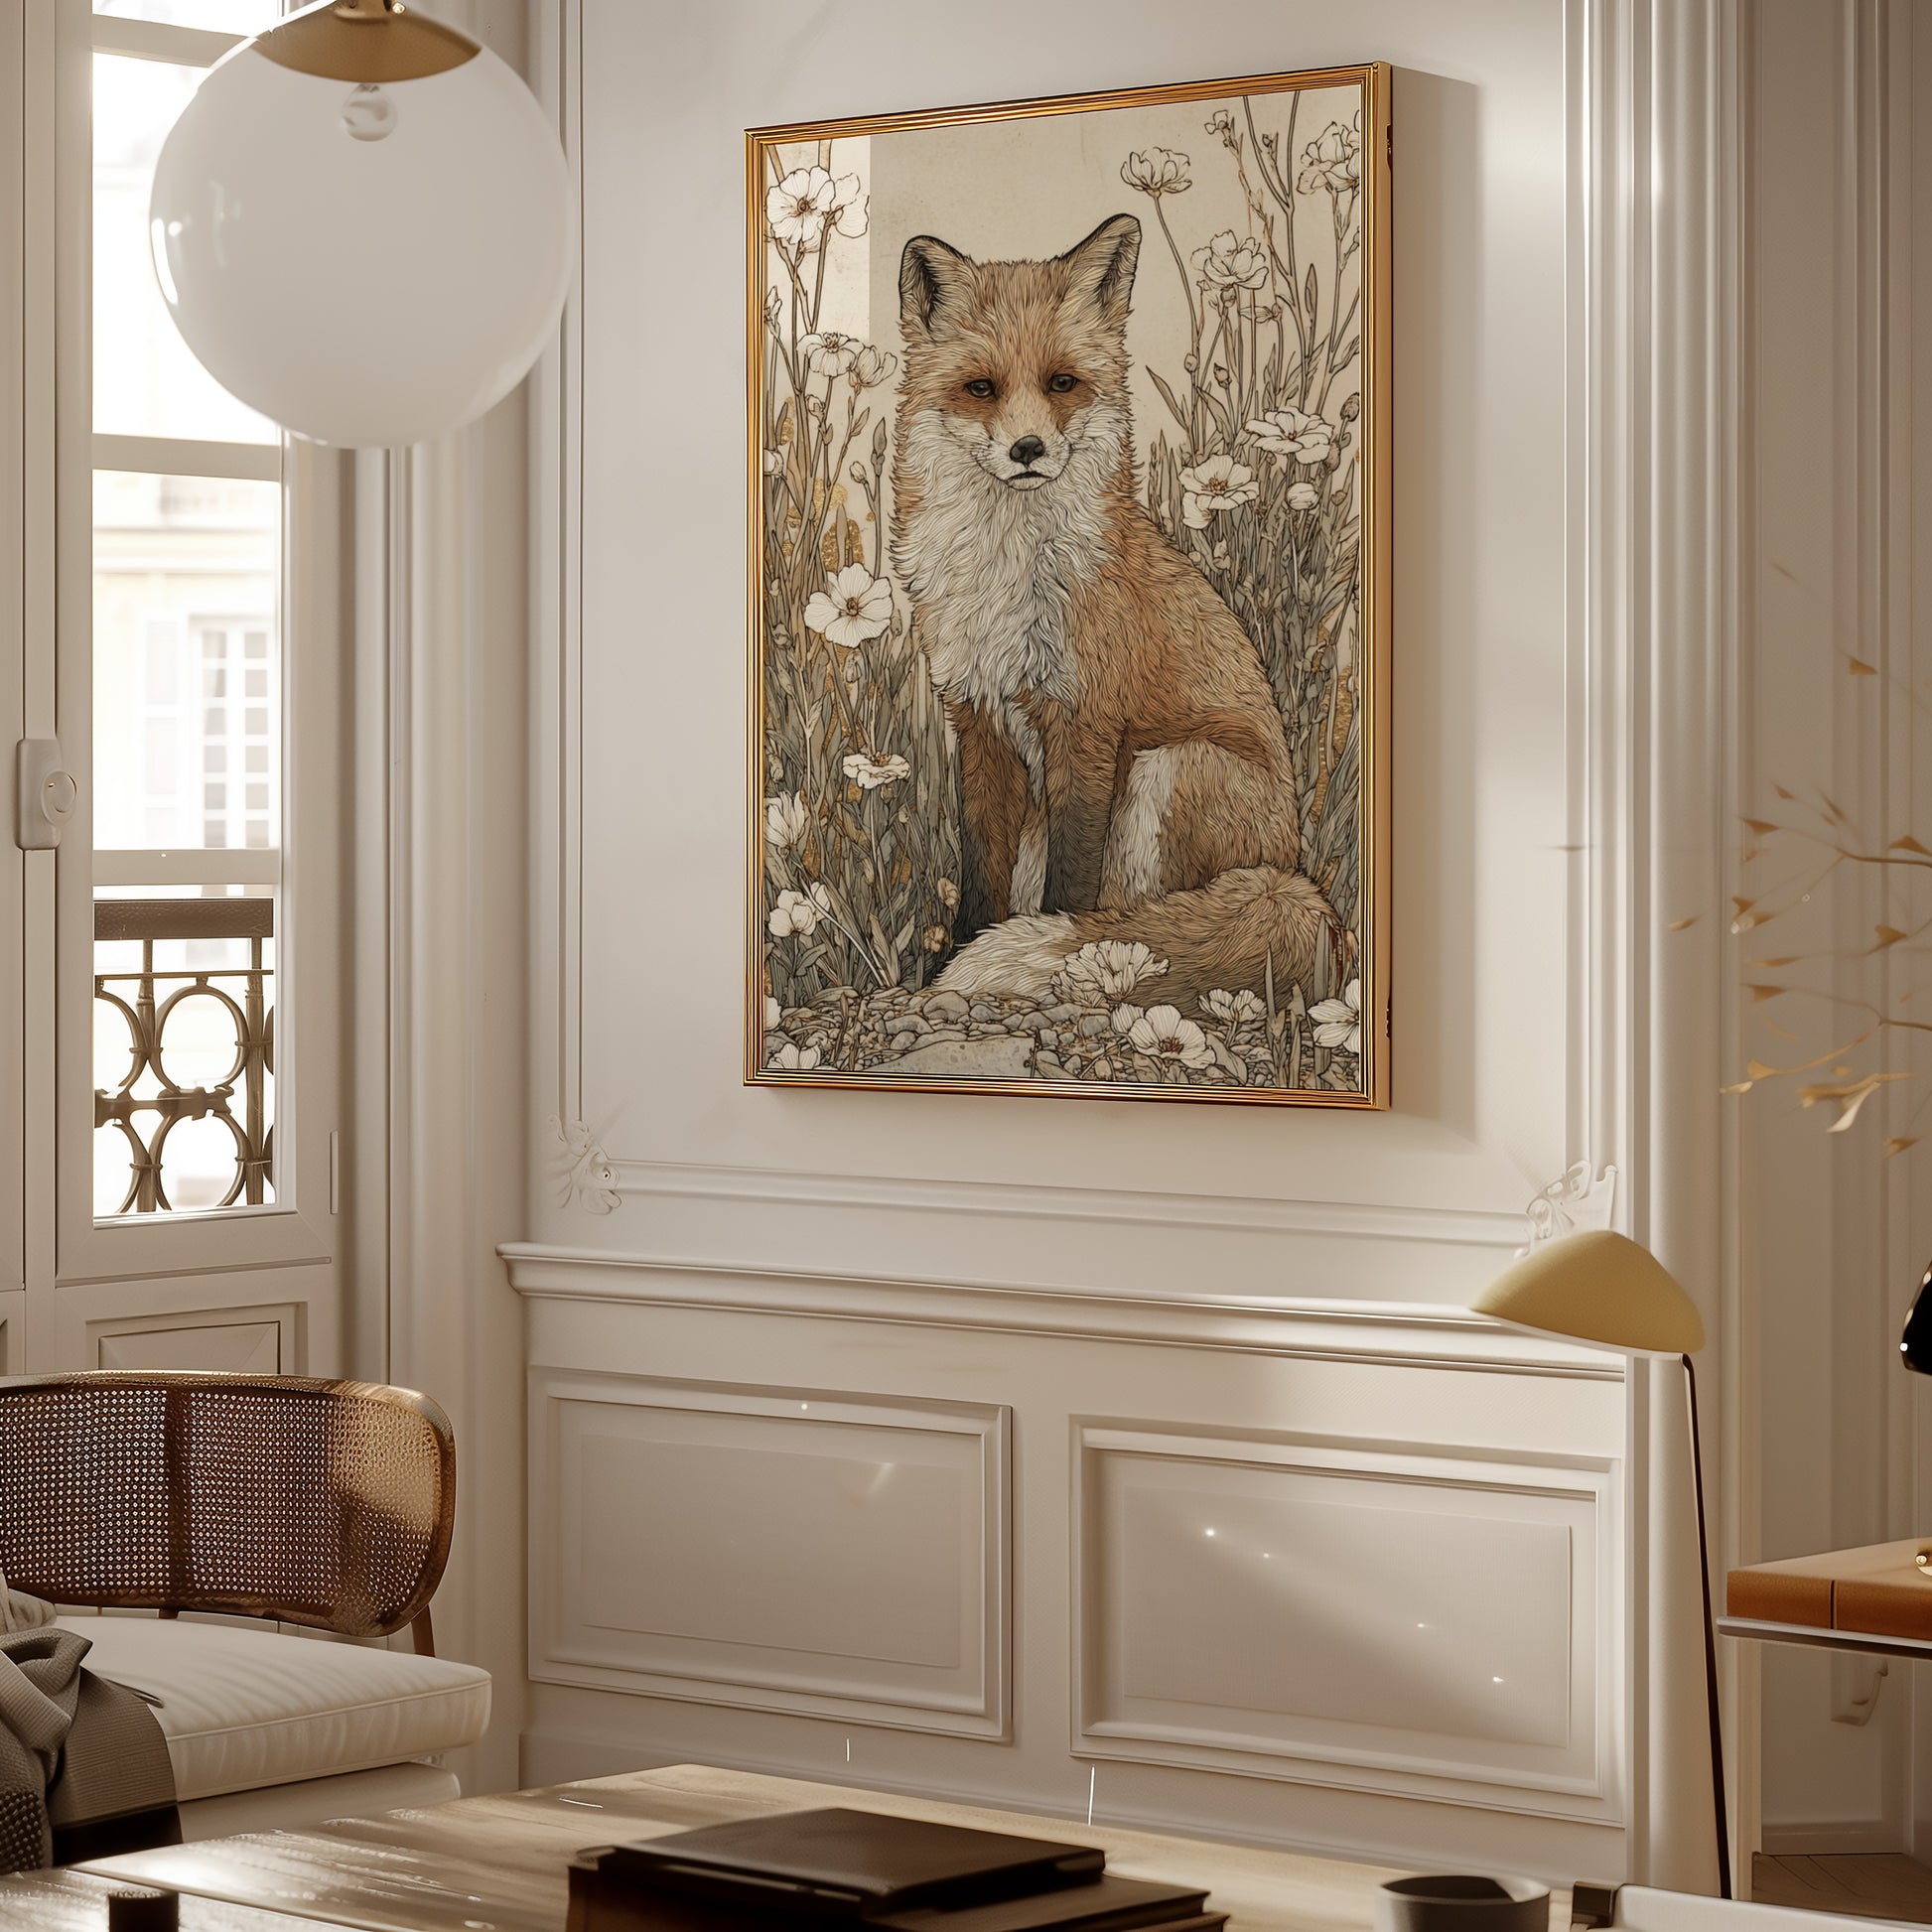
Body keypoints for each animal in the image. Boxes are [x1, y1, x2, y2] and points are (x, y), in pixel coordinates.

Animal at [891, 210, 1347, 1015]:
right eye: (981, 388)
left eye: (1062, 383)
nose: (1029, 449)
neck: (1008, 570)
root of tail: (1292, 870)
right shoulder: (977, 718)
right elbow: (980, 869)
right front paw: (953, 960)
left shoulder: (1086, 719)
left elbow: (1071, 882)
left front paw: (1060, 953)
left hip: (1166, 765)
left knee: (1144, 915)